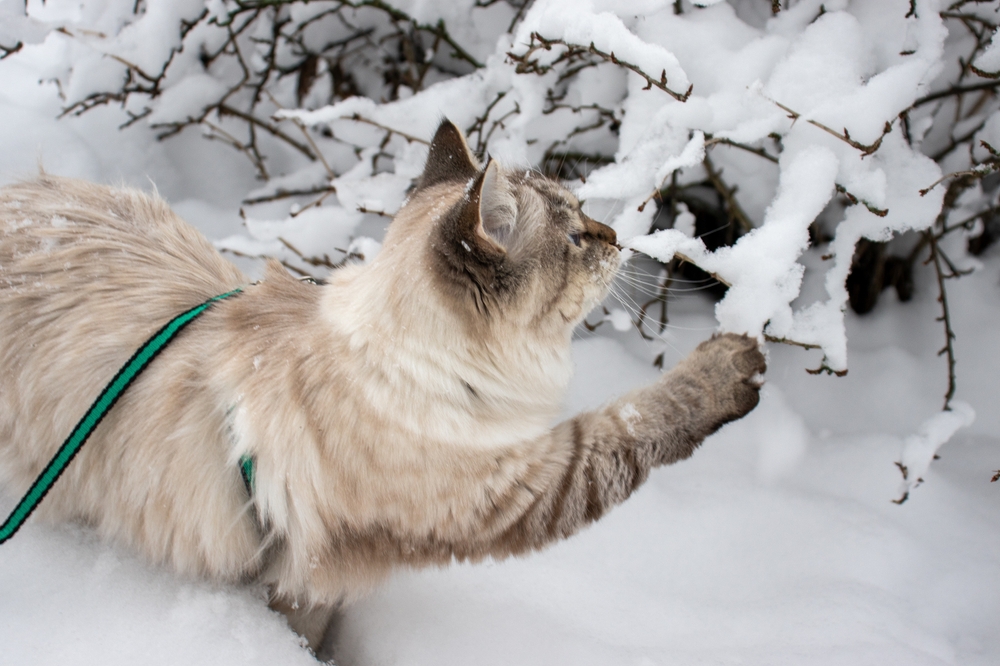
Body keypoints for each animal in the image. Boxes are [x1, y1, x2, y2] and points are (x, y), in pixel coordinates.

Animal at [0, 118, 764, 648]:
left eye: (586, 216)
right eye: (575, 239)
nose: (616, 237)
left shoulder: (310, 585)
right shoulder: (509, 484)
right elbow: (629, 427)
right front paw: (734, 365)